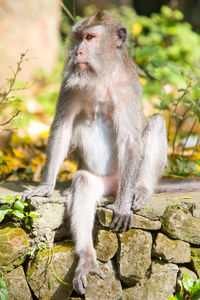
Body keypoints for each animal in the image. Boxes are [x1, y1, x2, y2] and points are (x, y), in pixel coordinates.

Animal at [20, 10, 200, 294]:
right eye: (78, 37)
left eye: (90, 38)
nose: (78, 52)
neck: (101, 74)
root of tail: (115, 185)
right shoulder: (71, 80)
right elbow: (62, 127)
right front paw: (45, 186)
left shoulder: (128, 85)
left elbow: (130, 138)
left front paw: (124, 205)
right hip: (102, 183)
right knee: (84, 183)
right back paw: (87, 258)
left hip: (127, 176)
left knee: (157, 121)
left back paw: (139, 190)